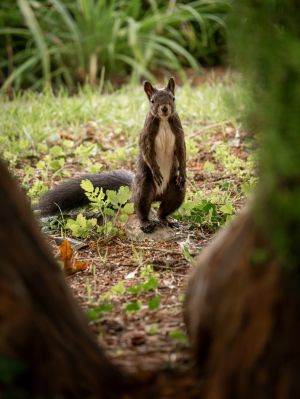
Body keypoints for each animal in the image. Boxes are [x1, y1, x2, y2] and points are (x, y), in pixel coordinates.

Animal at [36, 77, 186, 234]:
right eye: (152, 100)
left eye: (173, 98)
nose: (164, 108)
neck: (164, 120)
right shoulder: (146, 134)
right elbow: (146, 152)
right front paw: (156, 171)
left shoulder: (179, 133)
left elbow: (182, 152)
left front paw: (183, 172)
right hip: (145, 187)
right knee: (142, 207)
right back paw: (146, 223)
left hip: (176, 191)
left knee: (164, 209)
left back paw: (167, 220)